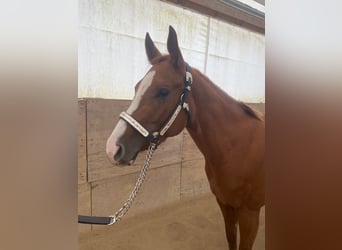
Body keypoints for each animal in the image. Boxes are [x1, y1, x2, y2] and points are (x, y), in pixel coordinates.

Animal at [107, 26, 264, 249]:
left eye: (163, 91)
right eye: (137, 88)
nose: (112, 148)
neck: (238, 148)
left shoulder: (250, 214)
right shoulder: (225, 205)